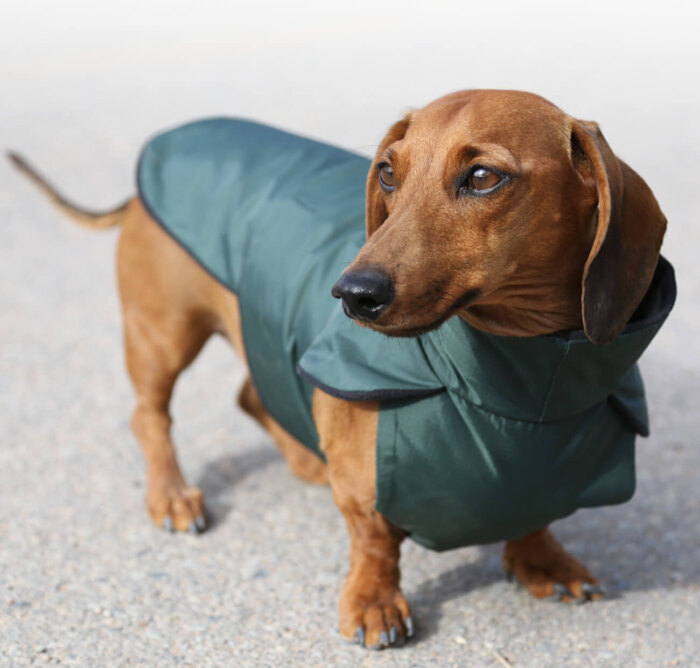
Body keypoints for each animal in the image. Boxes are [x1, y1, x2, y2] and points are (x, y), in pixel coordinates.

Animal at [10, 88, 668, 648]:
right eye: (388, 172)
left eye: (483, 177)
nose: (352, 293)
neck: (521, 389)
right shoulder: (361, 479)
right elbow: (373, 539)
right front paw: (375, 603)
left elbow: (535, 515)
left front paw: (543, 559)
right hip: (162, 335)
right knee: (150, 416)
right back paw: (173, 496)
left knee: (253, 393)